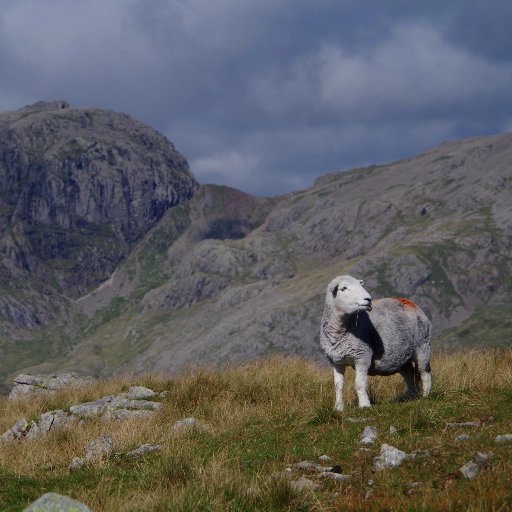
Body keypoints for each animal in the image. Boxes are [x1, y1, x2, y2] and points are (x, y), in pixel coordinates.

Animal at [320, 274, 432, 410]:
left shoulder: (362, 356)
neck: (341, 330)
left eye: (360, 285)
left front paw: (364, 405)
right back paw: (411, 397)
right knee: (410, 374)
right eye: (343, 288)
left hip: (423, 346)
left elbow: (359, 384)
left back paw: (426, 396)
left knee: (424, 372)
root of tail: (410, 303)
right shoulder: (335, 361)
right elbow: (338, 386)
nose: (368, 299)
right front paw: (339, 408)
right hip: (402, 356)